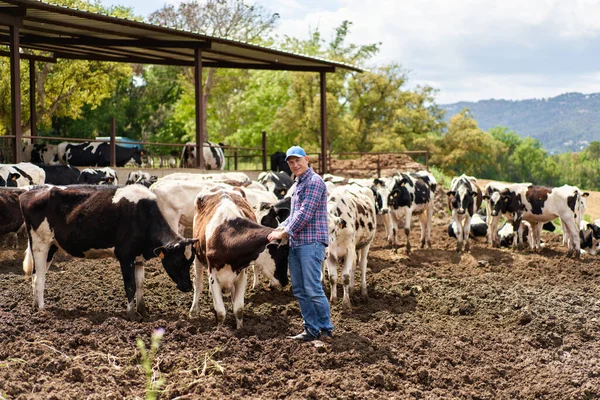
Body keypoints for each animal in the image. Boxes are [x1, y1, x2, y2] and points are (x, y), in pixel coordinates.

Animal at [19, 183, 198, 318]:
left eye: (190, 261)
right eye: (177, 261)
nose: (188, 286)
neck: (143, 215)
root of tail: (31, 192)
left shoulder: (139, 258)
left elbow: (140, 283)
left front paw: (143, 311)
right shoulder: (125, 256)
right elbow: (130, 285)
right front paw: (131, 314)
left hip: (52, 246)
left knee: (36, 275)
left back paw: (35, 307)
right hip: (40, 243)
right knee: (39, 277)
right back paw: (42, 309)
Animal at [191, 188, 282, 328]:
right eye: (282, 254)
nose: (285, 281)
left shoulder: (241, 274)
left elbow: (238, 308)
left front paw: (240, 328)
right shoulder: (213, 276)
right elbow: (220, 312)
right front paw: (219, 330)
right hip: (197, 256)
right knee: (198, 283)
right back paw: (194, 310)